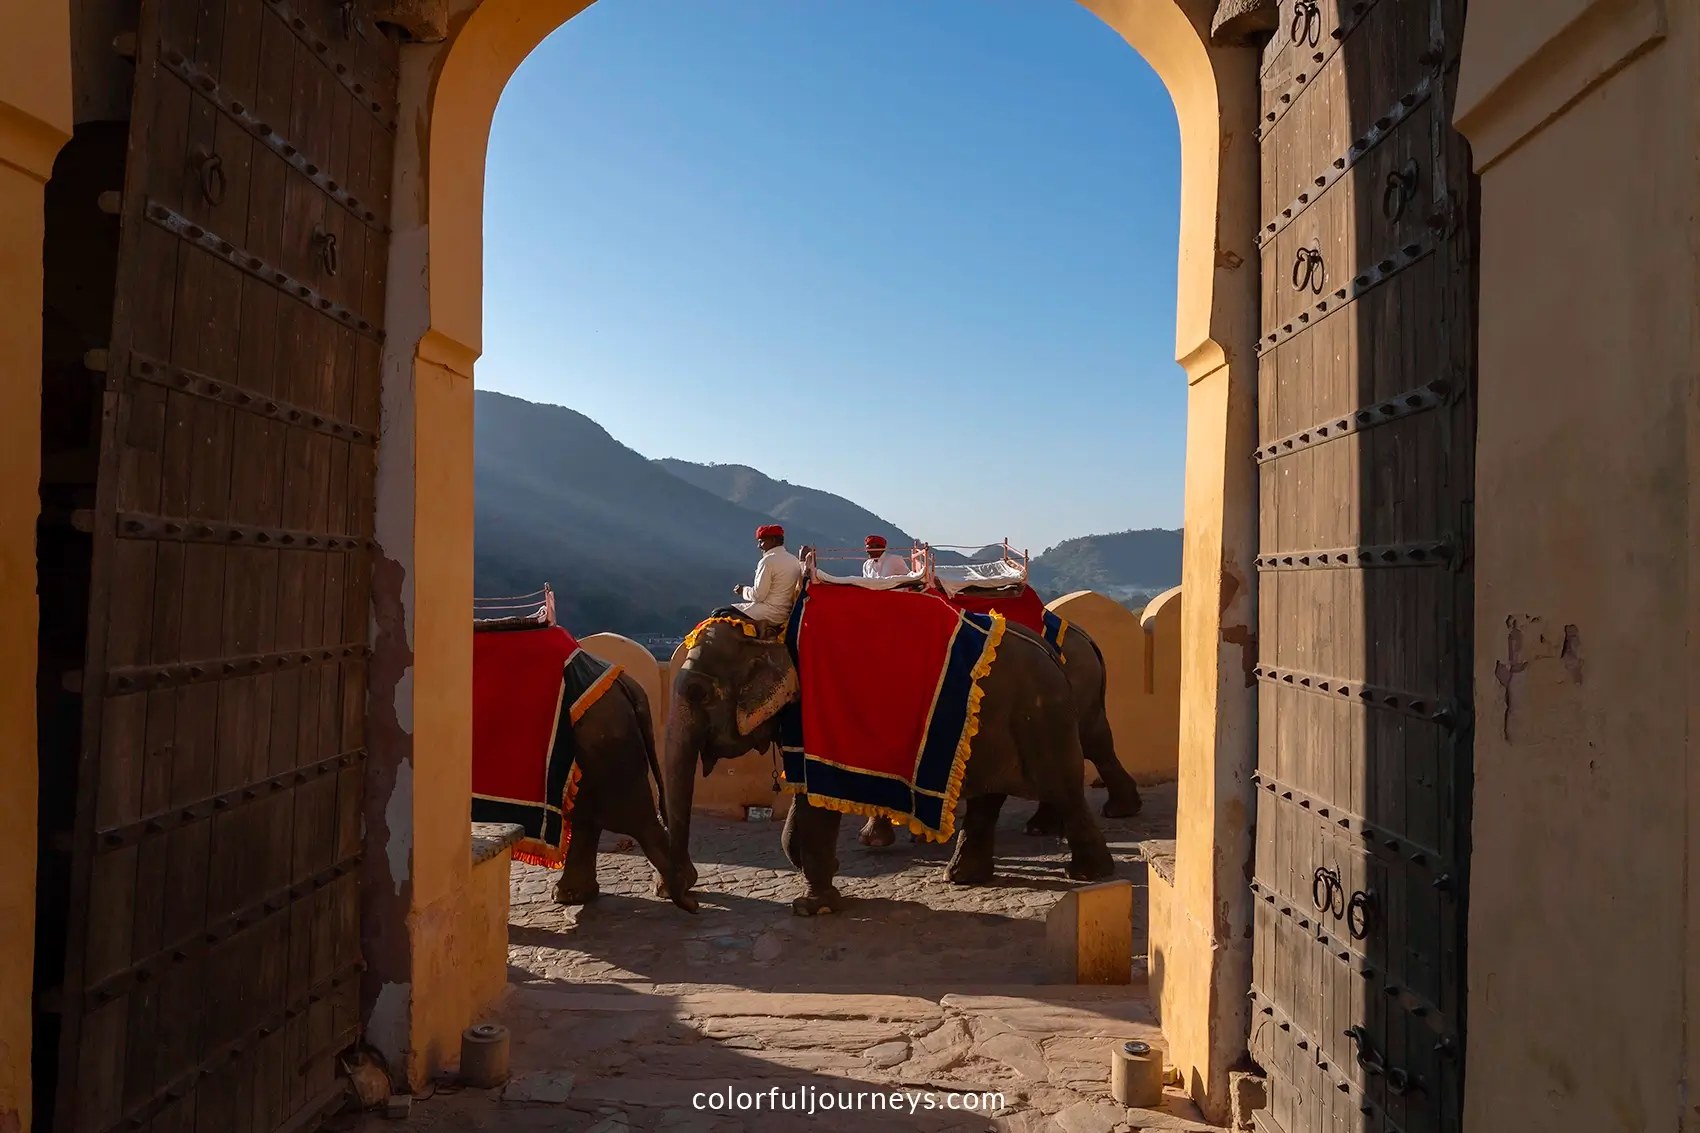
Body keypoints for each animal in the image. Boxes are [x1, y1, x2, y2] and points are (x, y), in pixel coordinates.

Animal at [661, 617, 1116, 915]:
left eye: (698, 692)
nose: (690, 896)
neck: (767, 631)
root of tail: (1054, 653)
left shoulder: (819, 716)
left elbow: (817, 800)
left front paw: (811, 906)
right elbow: (804, 795)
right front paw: (815, 871)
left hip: (1040, 717)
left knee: (1064, 785)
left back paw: (1089, 873)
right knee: (992, 796)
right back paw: (963, 876)